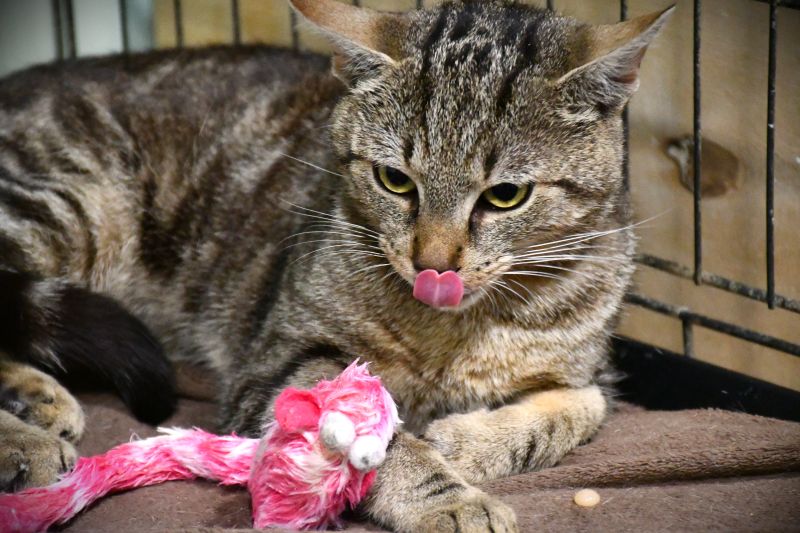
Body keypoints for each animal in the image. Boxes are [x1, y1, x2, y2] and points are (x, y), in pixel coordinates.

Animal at [0, 0, 672, 530]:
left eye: (506, 195)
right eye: (395, 180)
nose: (433, 264)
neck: (455, 333)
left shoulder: (594, 370)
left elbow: (578, 409)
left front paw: (463, 440)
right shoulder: (283, 362)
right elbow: (378, 446)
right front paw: (446, 499)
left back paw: (37, 398)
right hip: (65, 206)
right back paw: (25, 440)